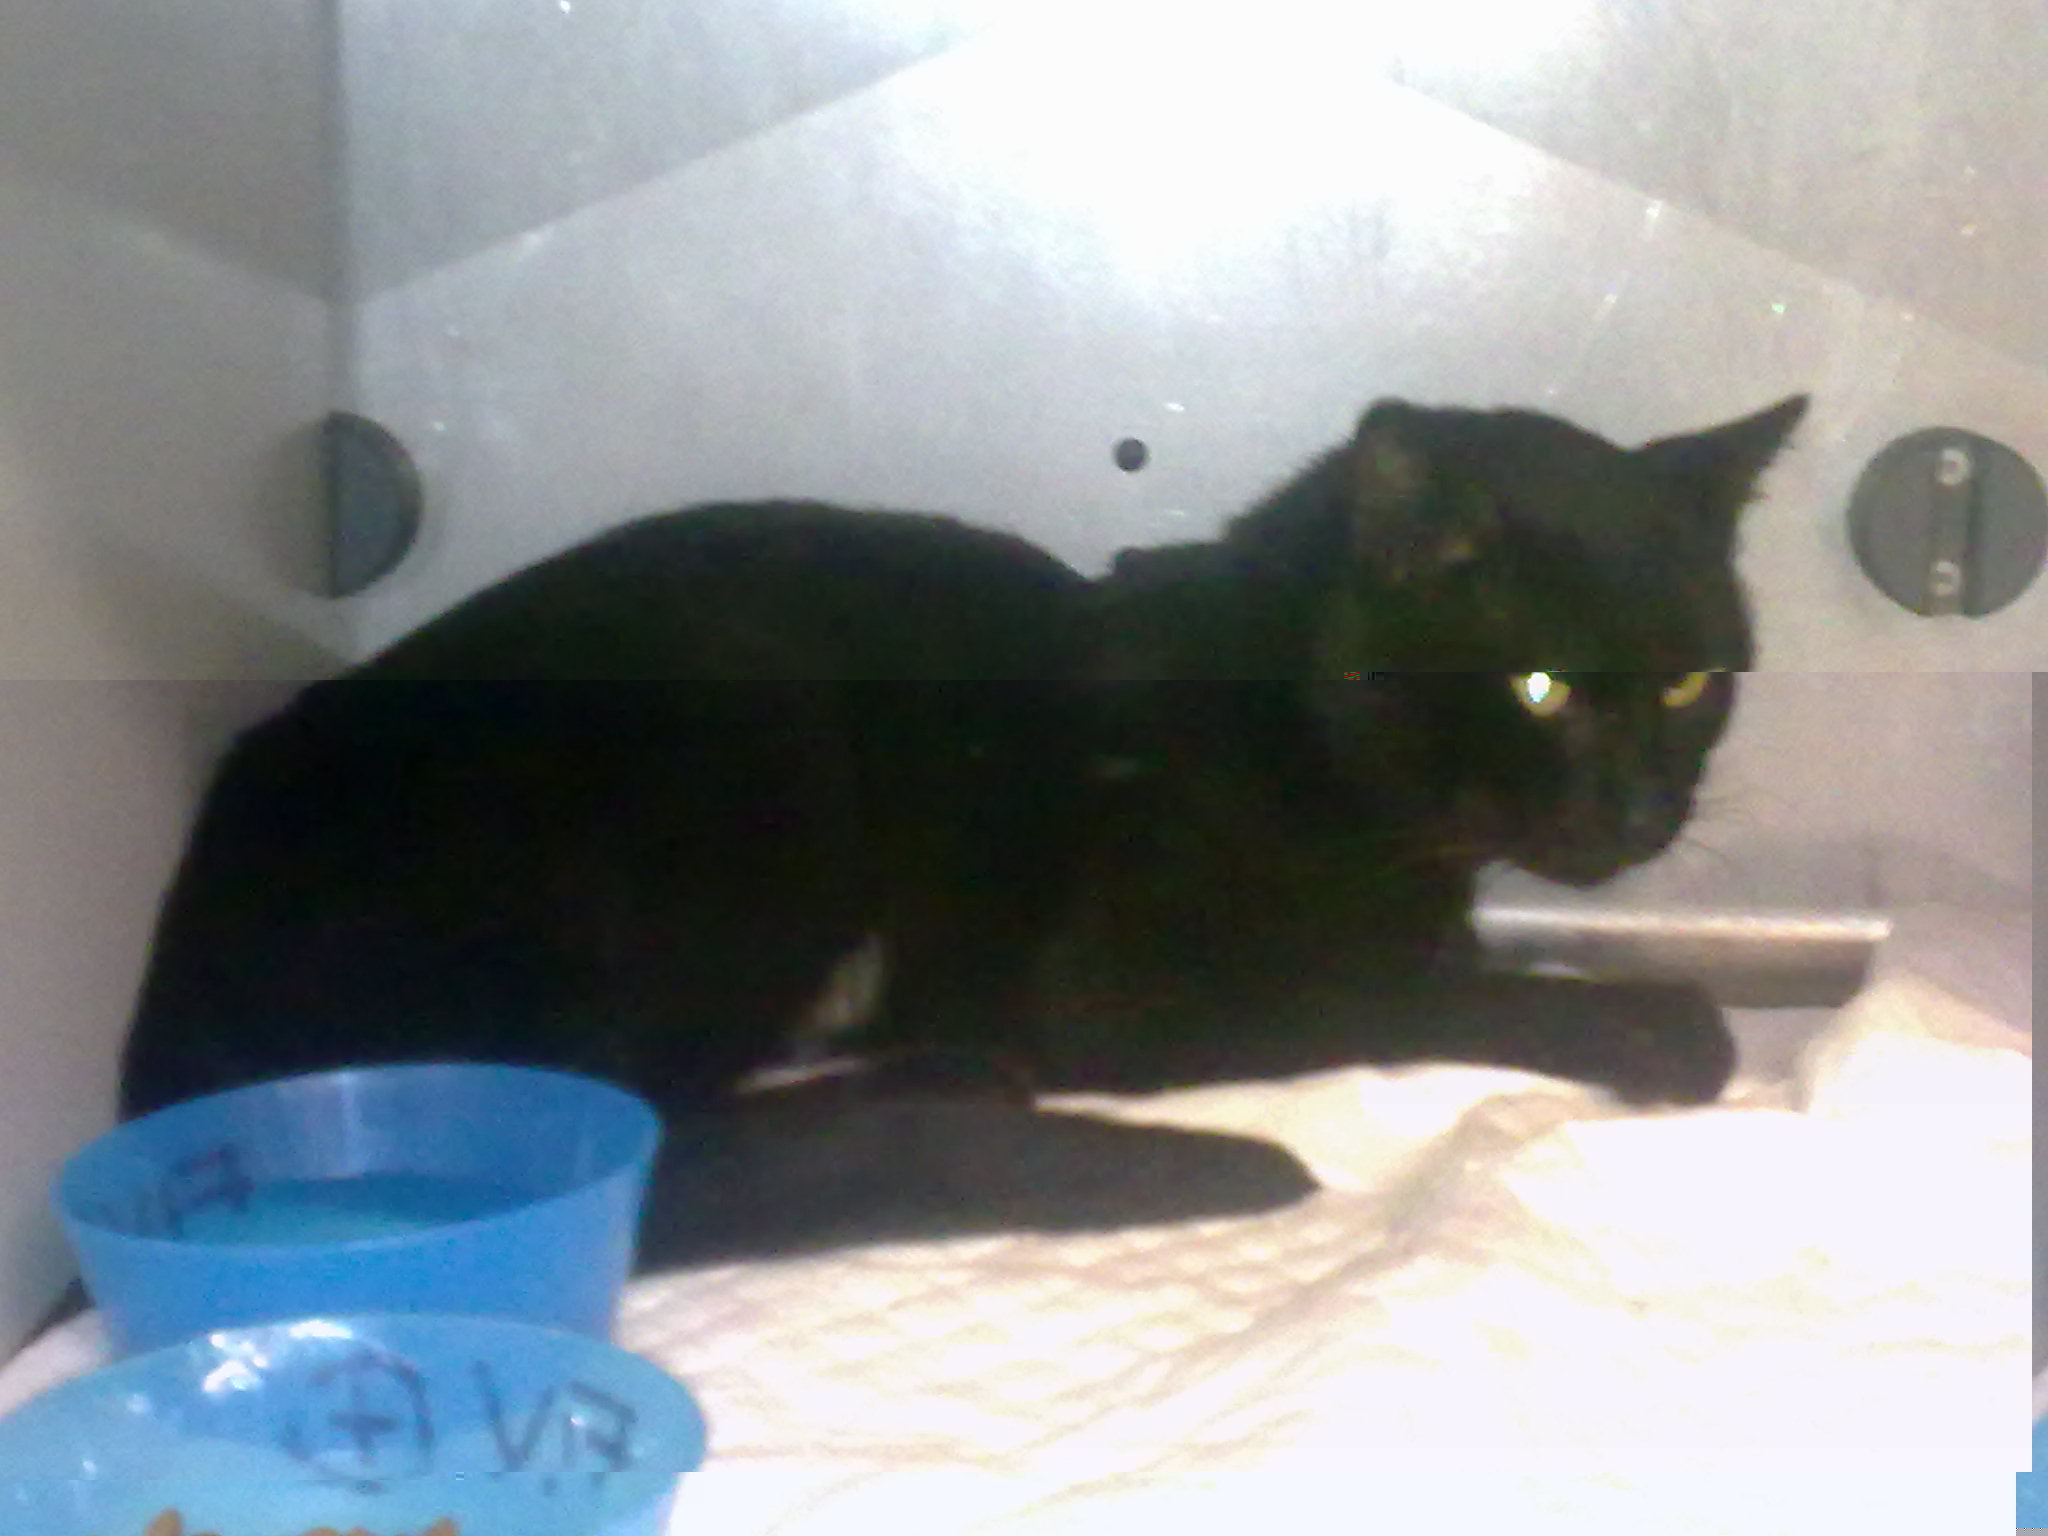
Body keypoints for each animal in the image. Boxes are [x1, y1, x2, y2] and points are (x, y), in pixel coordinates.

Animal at [118, 392, 1809, 1268]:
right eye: (1539, 686)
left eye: (1690, 680)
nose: (1645, 809)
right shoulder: (1126, 989)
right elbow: (1422, 988)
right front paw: (1657, 1027)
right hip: (752, 744)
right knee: (636, 1139)